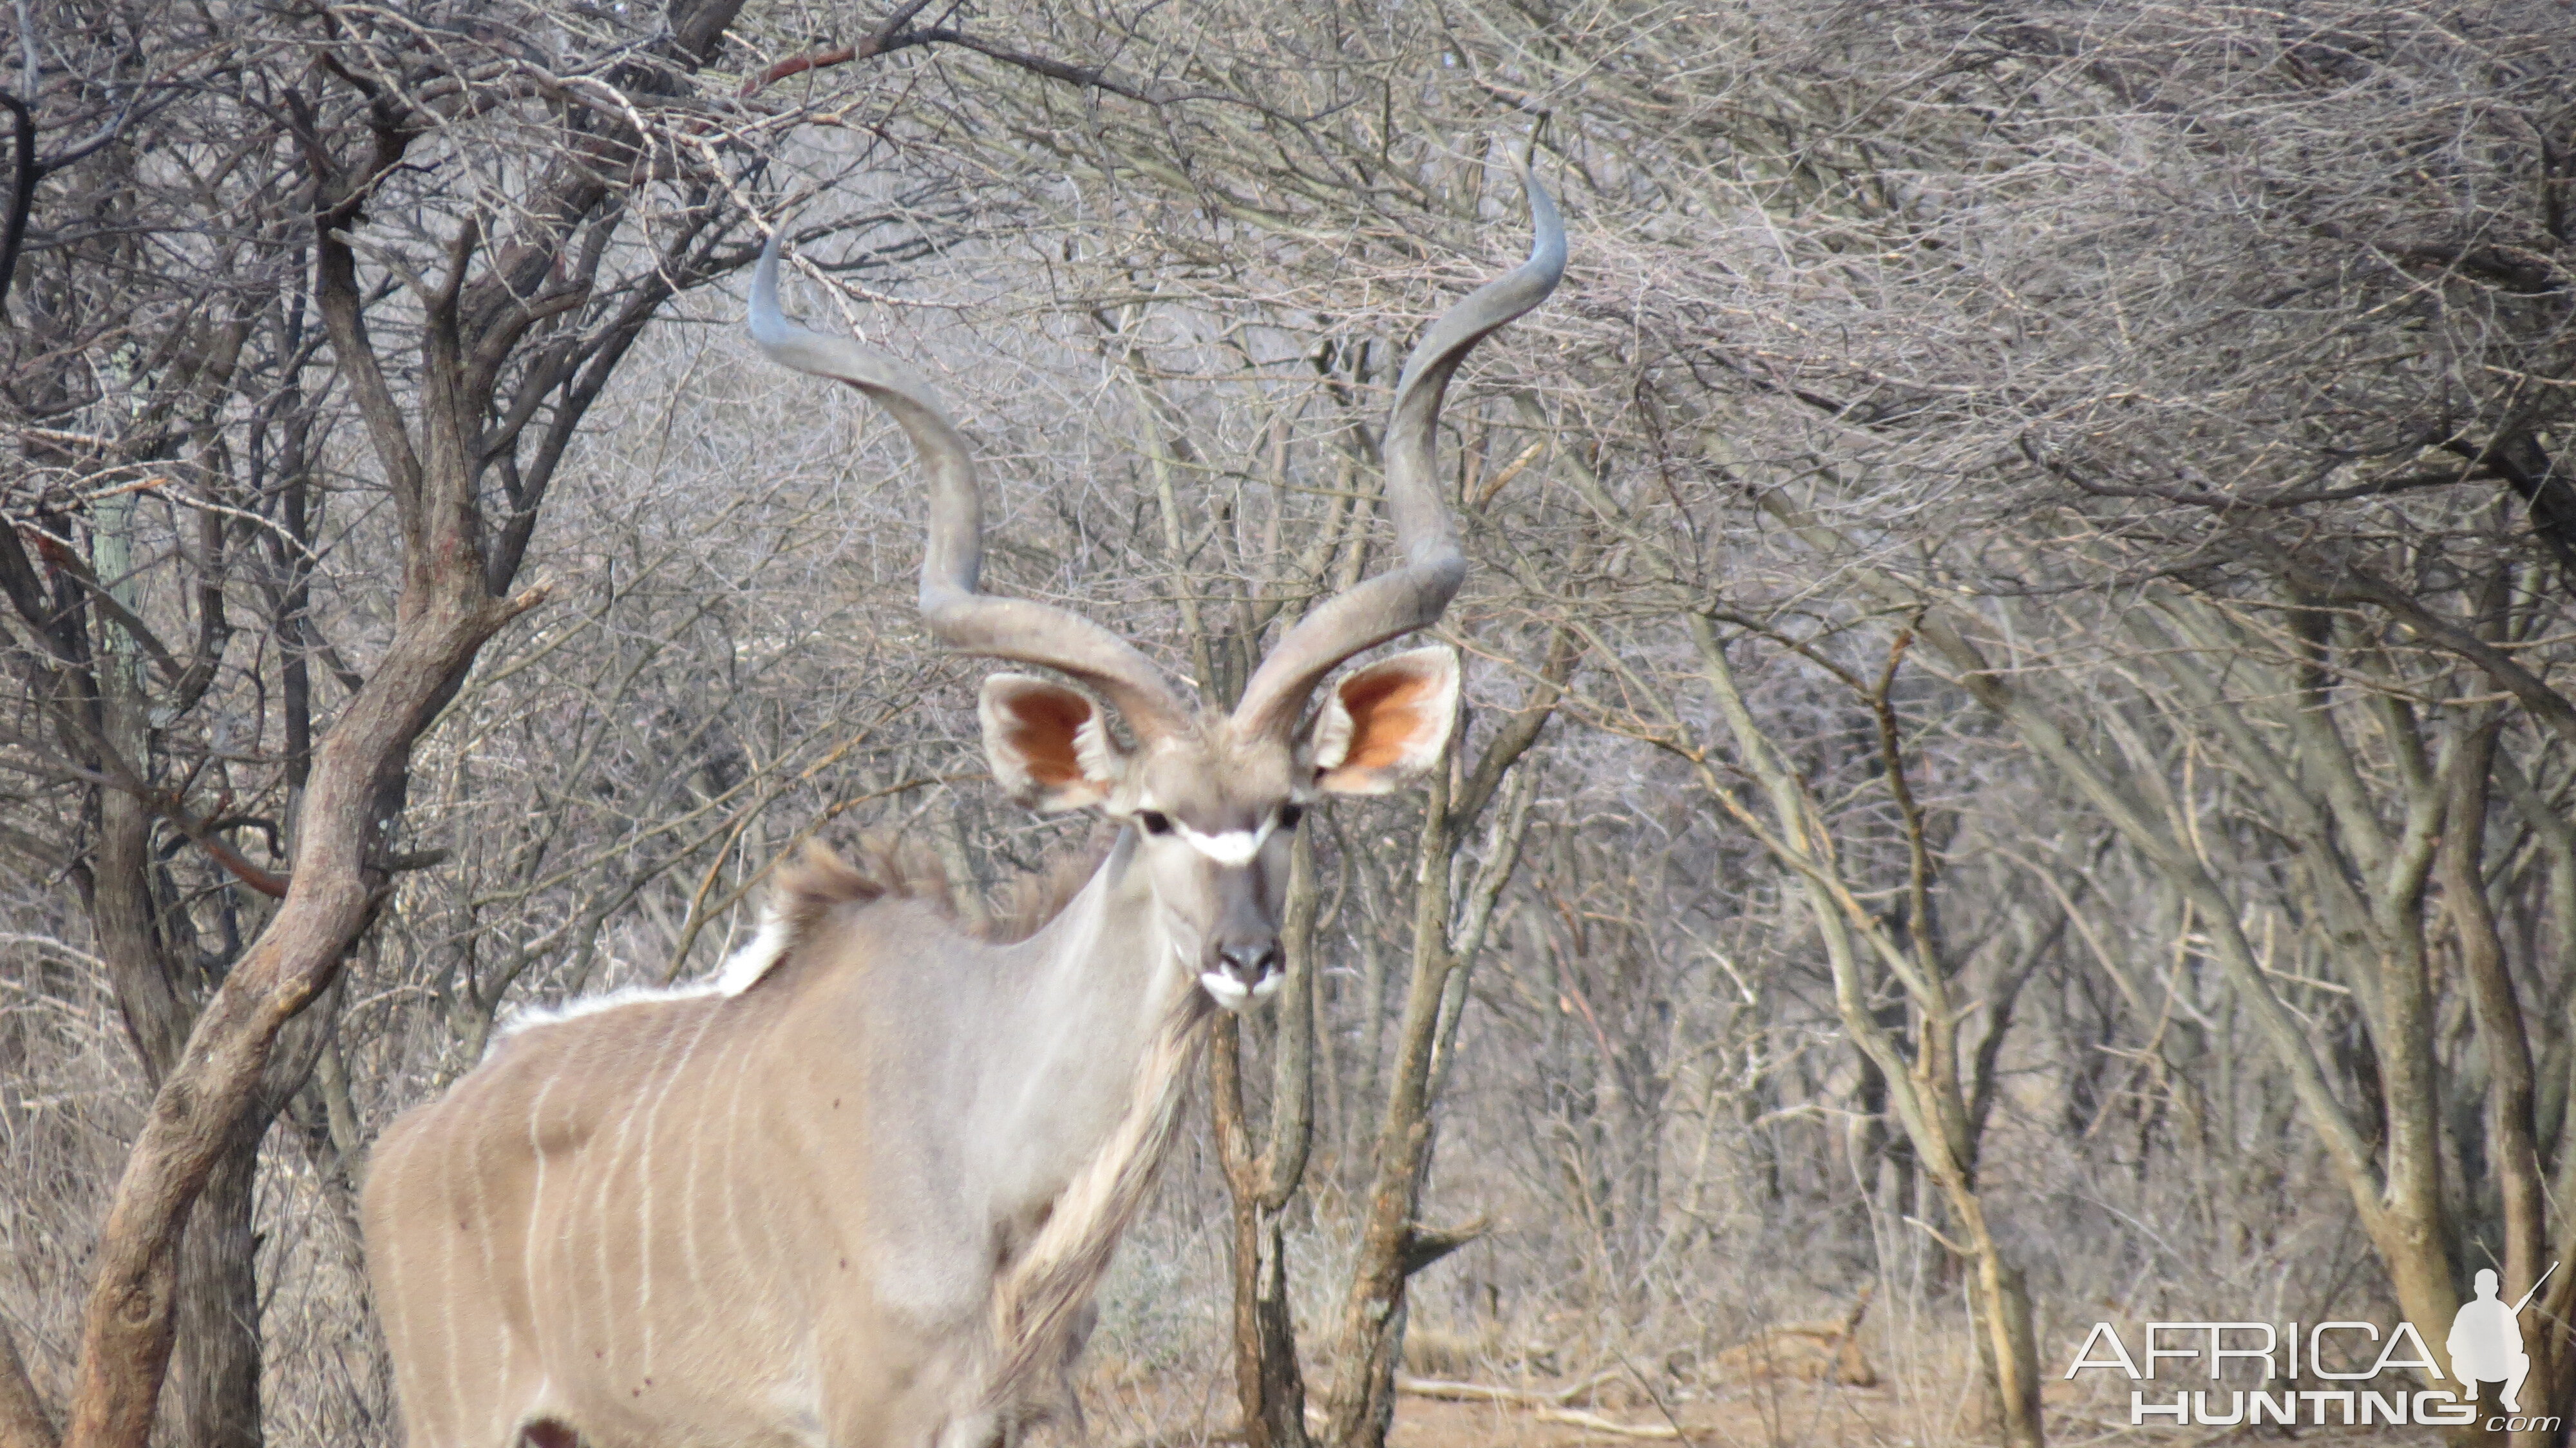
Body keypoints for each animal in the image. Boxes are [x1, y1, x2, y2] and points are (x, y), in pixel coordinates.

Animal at [368, 160, 1566, 1443]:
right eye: (1151, 817)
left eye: (1291, 809)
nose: (1246, 959)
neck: (991, 1141)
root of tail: (402, 1148)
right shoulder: (872, 1411)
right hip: (460, 1418)